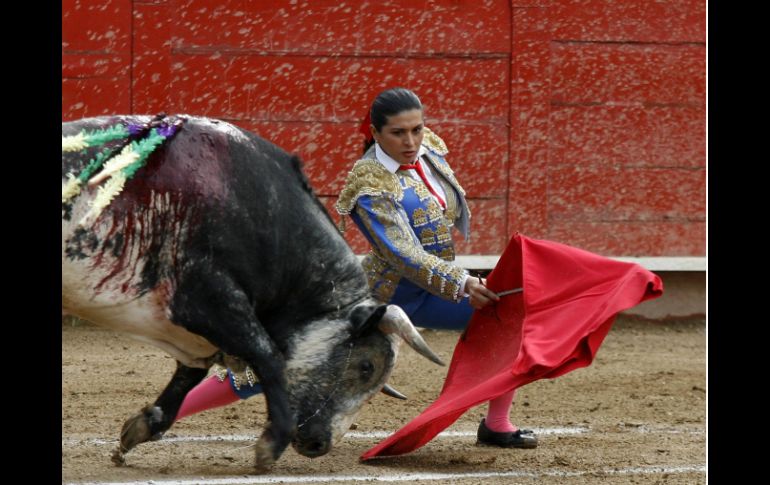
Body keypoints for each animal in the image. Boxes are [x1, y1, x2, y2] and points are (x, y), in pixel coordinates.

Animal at [60, 113, 444, 468]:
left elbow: (189, 375)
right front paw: (270, 445)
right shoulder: (205, 300)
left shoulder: (196, 329)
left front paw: (139, 428)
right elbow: (268, 355)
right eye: (366, 366)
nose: (320, 445)